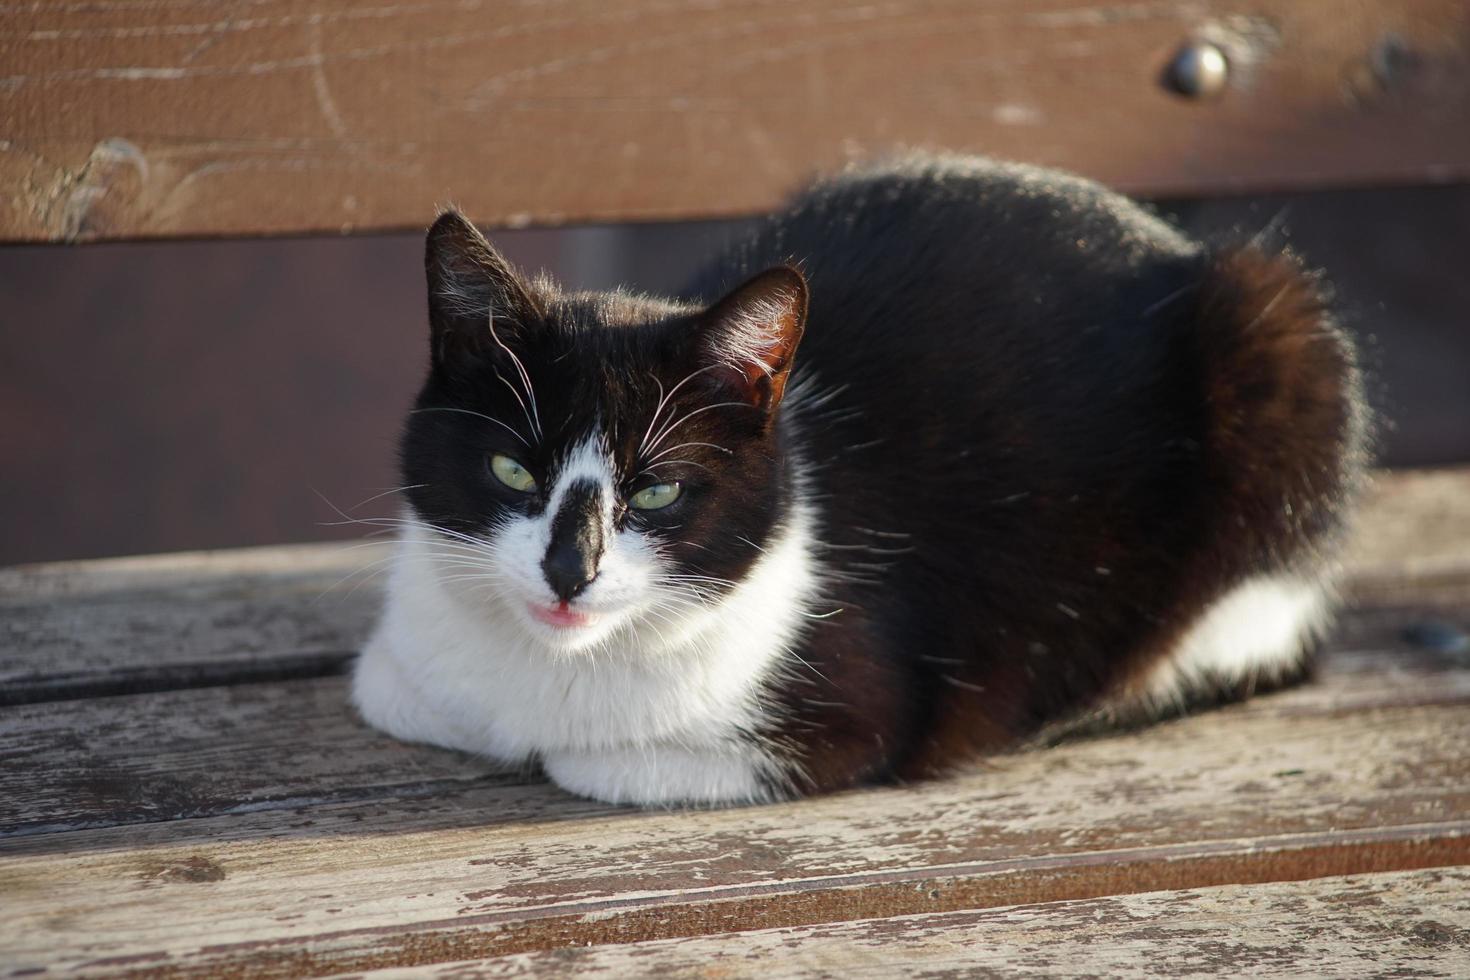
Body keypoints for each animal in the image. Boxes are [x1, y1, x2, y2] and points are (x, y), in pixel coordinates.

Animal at [349, 155, 1370, 805]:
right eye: (512, 467)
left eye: (657, 492)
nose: (570, 570)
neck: (548, 674)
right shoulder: (402, 671)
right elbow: (394, 692)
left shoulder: (851, 712)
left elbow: (602, 762)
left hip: (1279, 348)